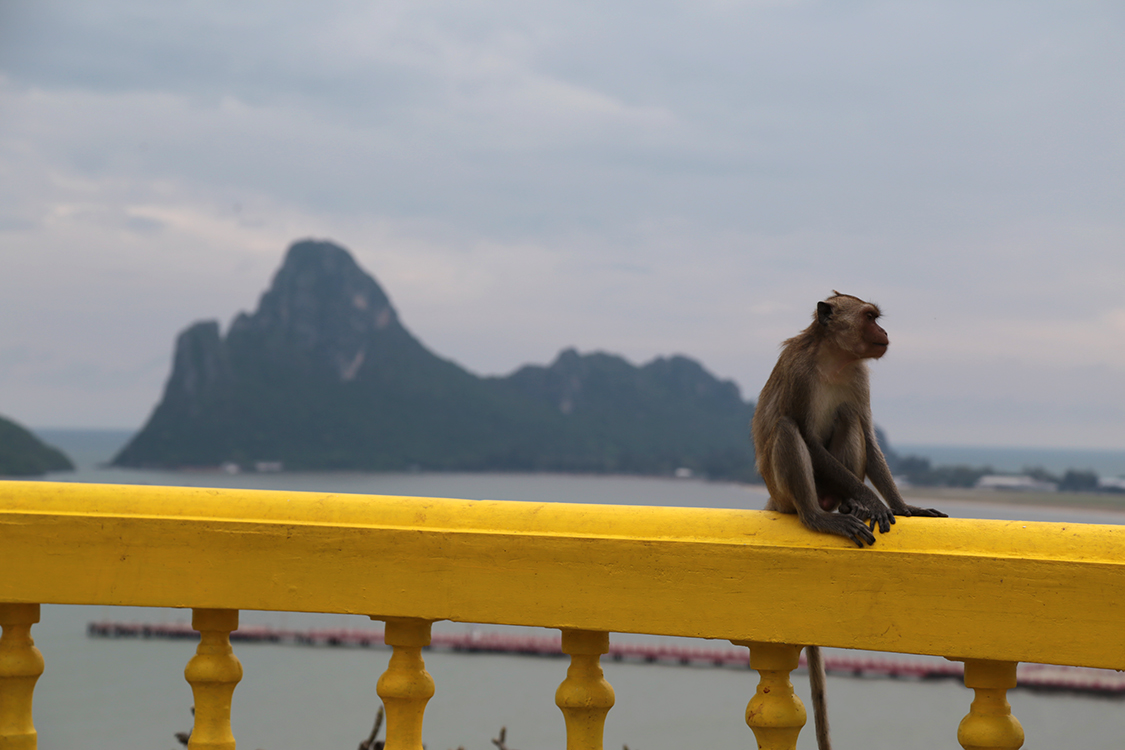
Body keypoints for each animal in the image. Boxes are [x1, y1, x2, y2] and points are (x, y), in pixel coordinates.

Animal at [751, 290, 945, 750]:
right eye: (871, 317)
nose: (885, 332)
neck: (834, 359)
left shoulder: (858, 377)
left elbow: (868, 436)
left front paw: (900, 505)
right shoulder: (800, 373)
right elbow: (803, 433)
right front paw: (873, 501)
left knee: (847, 417)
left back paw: (848, 506)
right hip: (785, 491)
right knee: (786, 428)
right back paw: (819, 517)